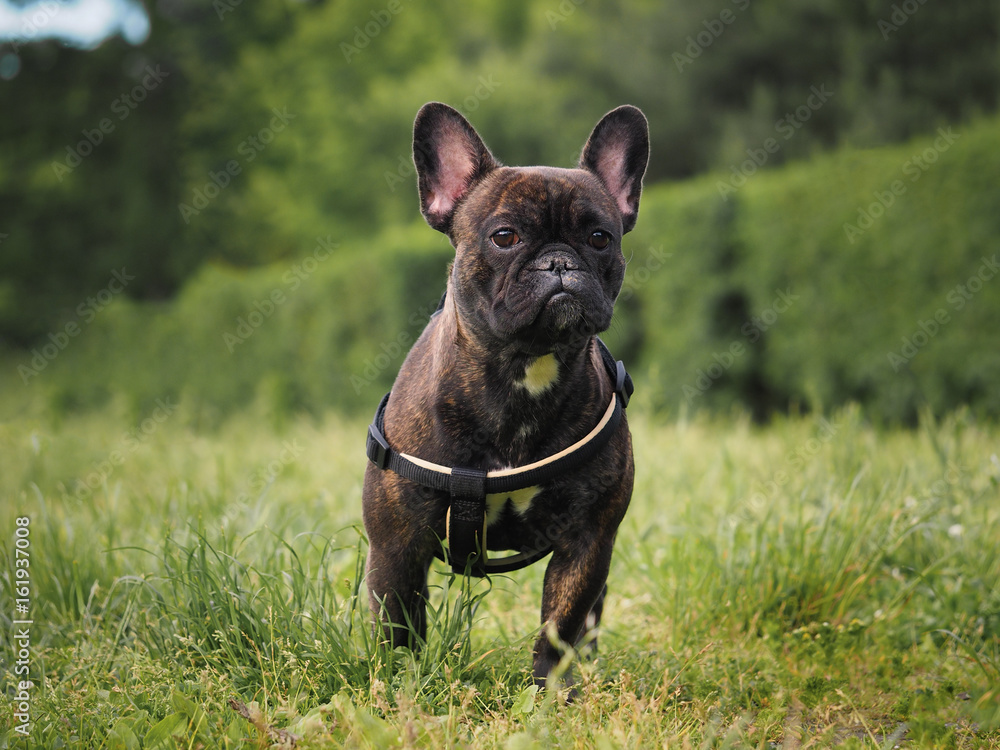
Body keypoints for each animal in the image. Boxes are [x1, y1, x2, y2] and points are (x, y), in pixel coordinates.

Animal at [362, 101, 648, 692]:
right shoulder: (397, 545)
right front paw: (401, 689)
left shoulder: (587, 540)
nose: (559, 261)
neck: (522, 371)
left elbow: (561, 624)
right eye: (506, 236)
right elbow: (398, 625)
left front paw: (549, 695)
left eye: (600, 238)